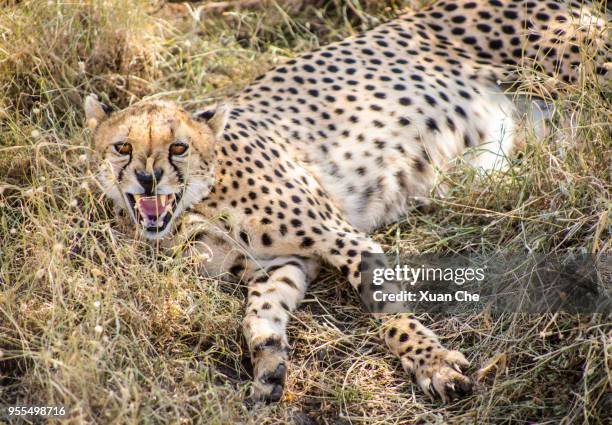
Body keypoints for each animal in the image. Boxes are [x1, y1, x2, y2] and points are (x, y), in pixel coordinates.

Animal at [83, 0, 608, 402]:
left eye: (178, 148)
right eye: (122, 147)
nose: (148, 179)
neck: (198, 207)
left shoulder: (345, 238)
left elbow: (390, 315)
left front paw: (432, 364)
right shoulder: (283, 263)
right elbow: (259, 312)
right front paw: (269, 363)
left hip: (576, 63)